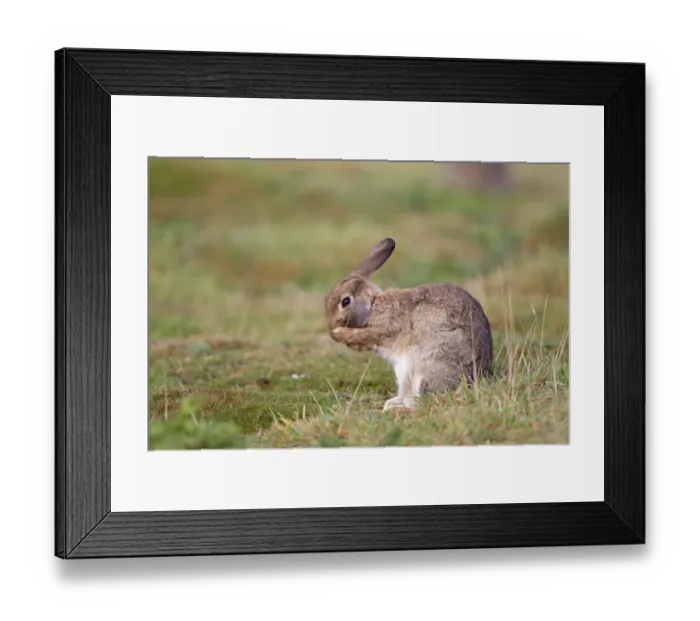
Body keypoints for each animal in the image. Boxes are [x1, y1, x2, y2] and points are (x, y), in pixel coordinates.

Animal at [324, 237, 493, 412]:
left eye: (345, 301)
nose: (331, 330)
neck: (373, 305)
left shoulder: (384, 328)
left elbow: (363, 336)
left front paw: (340, 333)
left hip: (427, 366)